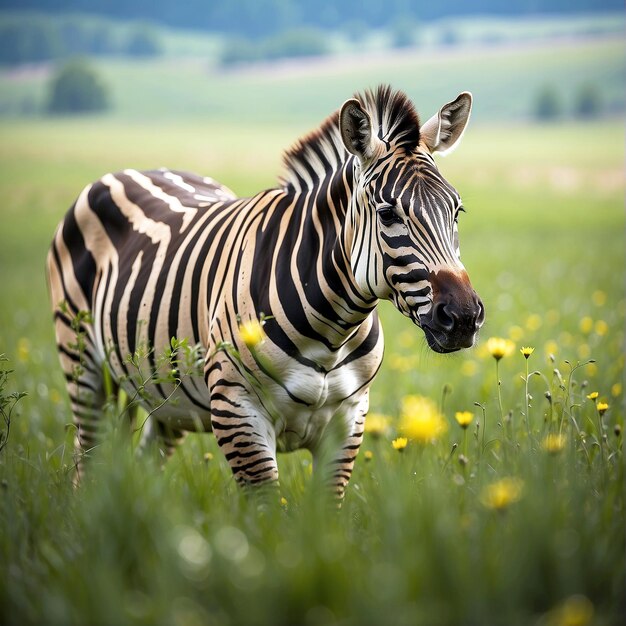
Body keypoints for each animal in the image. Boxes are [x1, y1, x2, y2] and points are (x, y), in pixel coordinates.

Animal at [47, 86, 482, 498]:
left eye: (457, 211)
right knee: (88, 462)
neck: (332, 331)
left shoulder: (349, 420)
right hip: (84, 366)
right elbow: (267, 516)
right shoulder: (238, 411)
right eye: (388, 214)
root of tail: (139, 169)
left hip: (169, 397)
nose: (463, 316)